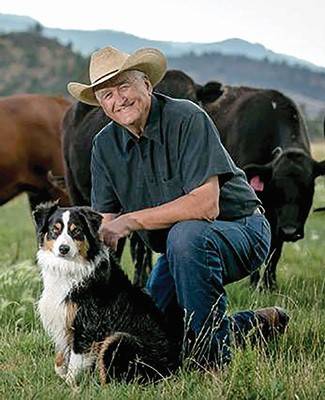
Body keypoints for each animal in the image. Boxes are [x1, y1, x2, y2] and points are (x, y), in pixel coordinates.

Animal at [33, 203, 180, 384]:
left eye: (77, 230)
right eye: (55, 230)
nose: (64, 249)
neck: (69, 267)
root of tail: (172, 367)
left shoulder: (87, 325)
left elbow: (75, 363)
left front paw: (70, 386)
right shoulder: (62, 316)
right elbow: (60, 360)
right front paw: (62, 374)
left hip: (120, 340)